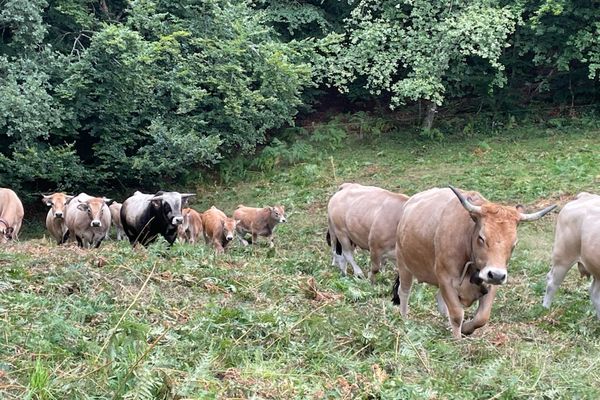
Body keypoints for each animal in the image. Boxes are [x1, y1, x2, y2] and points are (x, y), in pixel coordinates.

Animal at [392, 186, 556, 340]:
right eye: (481, 238)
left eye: (514, 243)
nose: (496, 275)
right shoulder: (445, 279)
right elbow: (457, 314)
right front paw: (457, 340)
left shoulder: (490, 284)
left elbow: (482, 317)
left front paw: (466, 328)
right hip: (404, 265)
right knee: (404, 291)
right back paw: (405, 318)